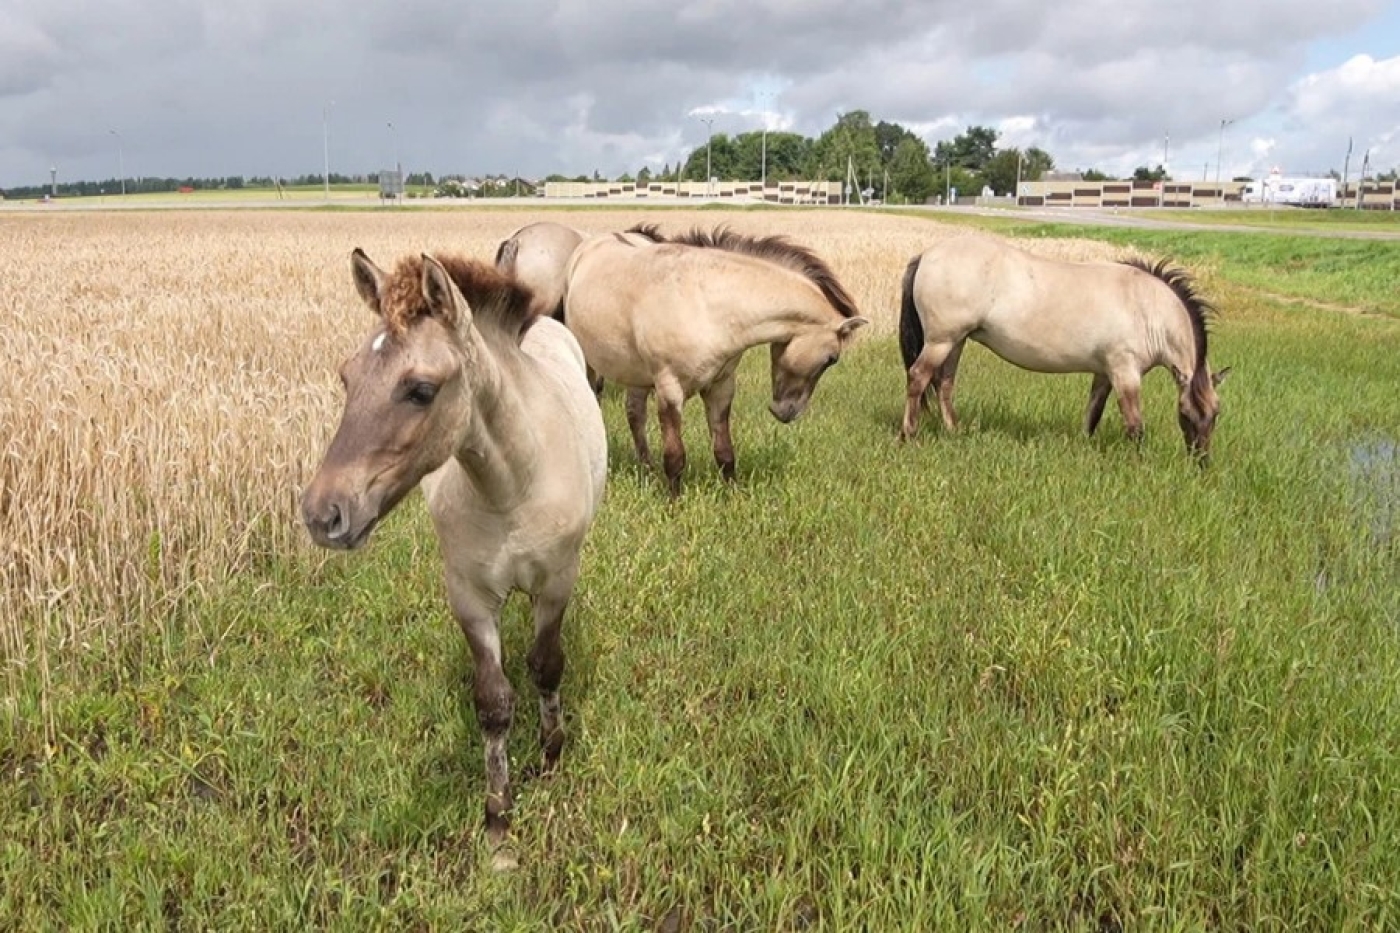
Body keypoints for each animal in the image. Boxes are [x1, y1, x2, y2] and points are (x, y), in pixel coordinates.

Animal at [300, 249, 607, 869]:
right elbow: (493, 701)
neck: (511, 488)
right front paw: (498, 824)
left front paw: (552, 756)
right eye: (347, 377)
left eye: (420, 389)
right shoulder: (469, 596)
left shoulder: (556, 583)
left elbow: (547, 665)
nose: (323, 515)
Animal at [563, 225, 868, 495]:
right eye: (831, 359)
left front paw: (733, 497)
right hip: (589, 362)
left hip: (635, 375)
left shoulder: (721, 387)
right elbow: (675, 457)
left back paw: (647, 470)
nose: (787, 413)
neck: (707, 304)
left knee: (635, 415)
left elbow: (724, 452)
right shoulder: (670, 390)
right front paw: (675, 504)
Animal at [898, 234, 1230, 459]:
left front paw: (1083, 445)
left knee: (944, 384)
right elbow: (1135, 424)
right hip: (941, 341)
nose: (1201, 461)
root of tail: (926, 255)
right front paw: (1139, 461)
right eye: (1186, 412)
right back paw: (908, 436)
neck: (1146, 307)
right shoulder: (1125, 373)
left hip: (955, 341)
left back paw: (954, 431)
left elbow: (1093, 413)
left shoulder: (1104, 373)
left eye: (1216, 414)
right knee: (918, 378)